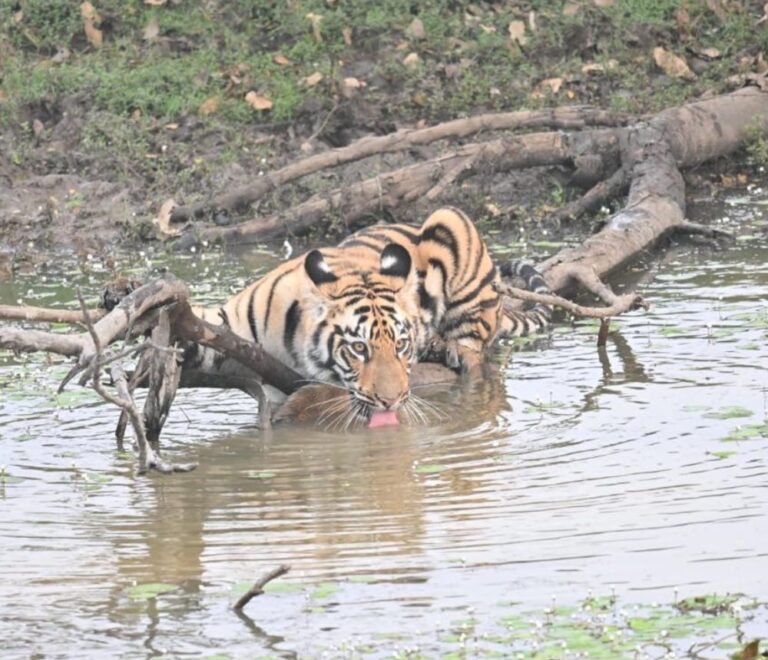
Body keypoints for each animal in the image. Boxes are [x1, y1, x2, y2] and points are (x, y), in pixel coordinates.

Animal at [186, 207, 551, 428]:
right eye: (358, 348)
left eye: (401, 345)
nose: (392, 402)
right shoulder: (228, 325)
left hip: (452, 220)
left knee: (477, 354)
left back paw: (453, 351)